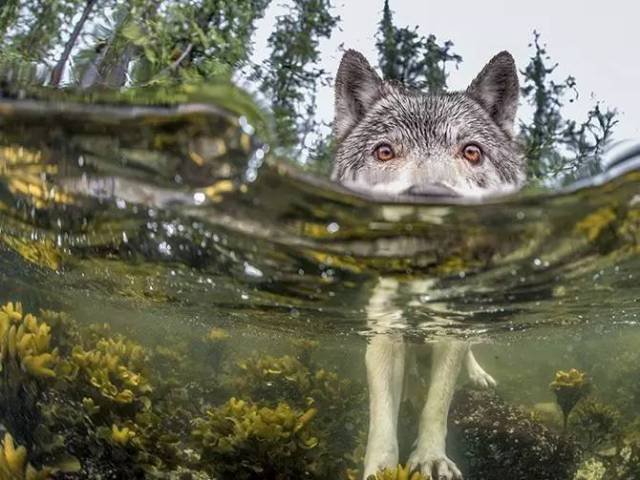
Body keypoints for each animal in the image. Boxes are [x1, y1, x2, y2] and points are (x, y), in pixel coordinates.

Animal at [332, 50, 524, 478]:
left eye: (472, 152)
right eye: (385, 152)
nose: (431, 198)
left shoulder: (449, 329)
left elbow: (438, 402)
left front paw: (431, 459)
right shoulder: (384, 332)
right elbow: (382, 417)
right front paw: (381, 468)